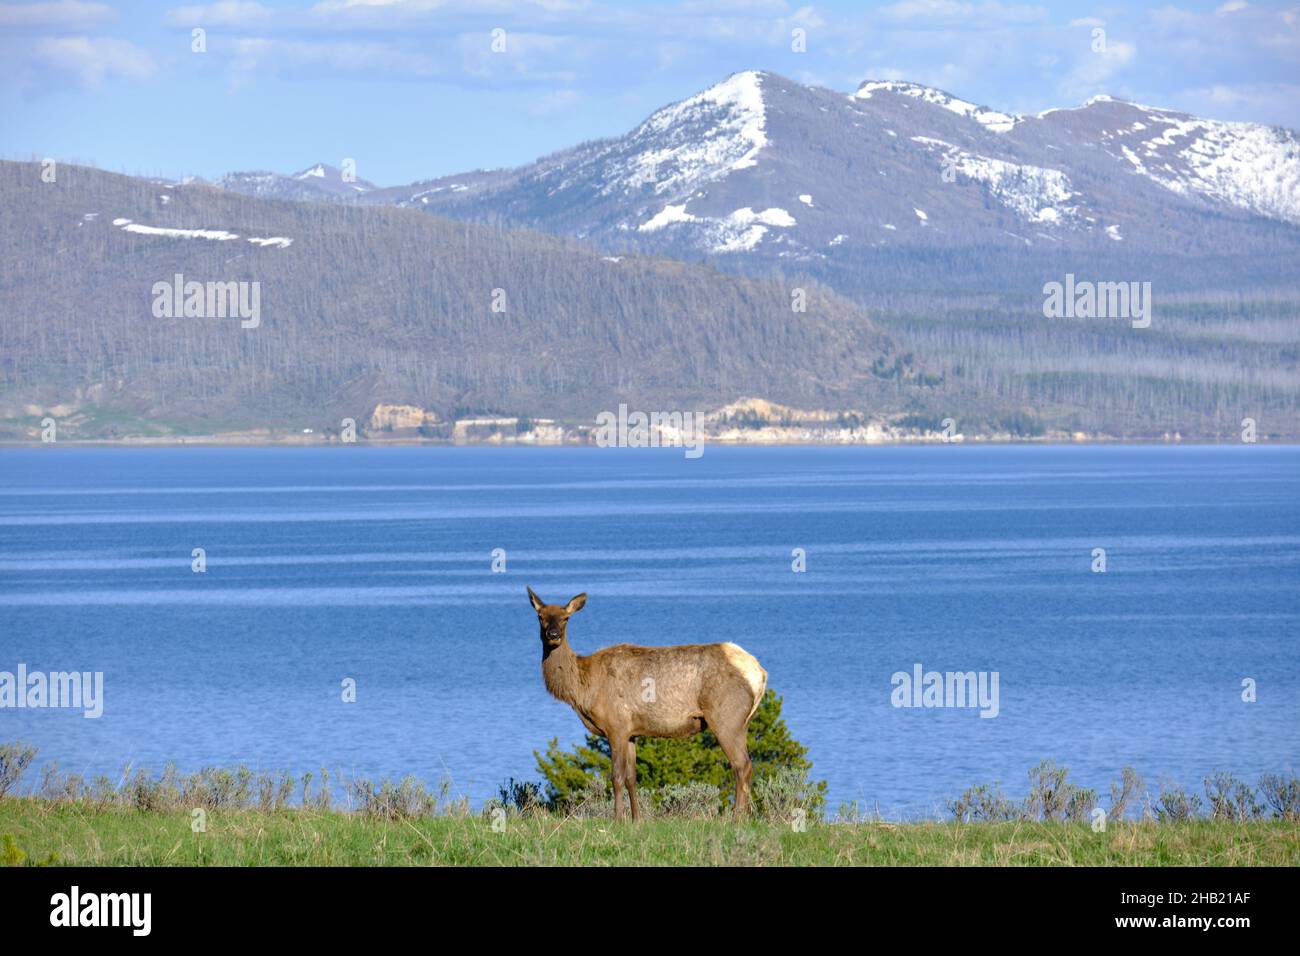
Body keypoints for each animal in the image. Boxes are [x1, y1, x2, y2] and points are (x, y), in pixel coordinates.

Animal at [527, 587, 767, 821]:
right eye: (540, 617)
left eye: (566, 618)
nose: (553, 635)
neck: (583, 690)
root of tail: (759, 673)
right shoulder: (631, 732)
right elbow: (632, 777)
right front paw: (636, 819)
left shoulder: (616, 725)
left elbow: (617, 776)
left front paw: (617, 820)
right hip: (742, 723)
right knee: (748, 765)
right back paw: (746, 817)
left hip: (725, 718)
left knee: (741, 766)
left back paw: (737, 819)